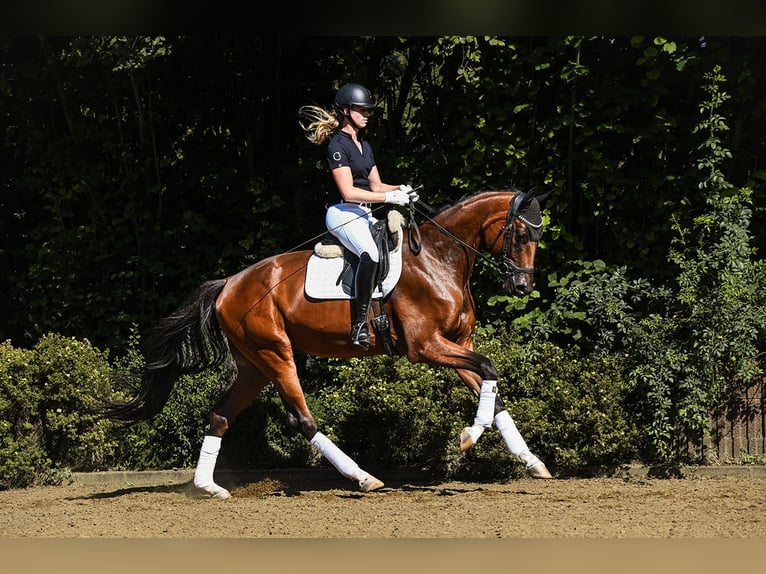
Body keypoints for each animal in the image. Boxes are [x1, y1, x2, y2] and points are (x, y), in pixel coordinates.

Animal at [105, 189, 556, 500]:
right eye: (519, 234)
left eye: (538, 236)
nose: (521, 287)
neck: (440, 259)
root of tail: (229, 283)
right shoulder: (426, 346)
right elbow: (489, 371)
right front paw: (468, 437)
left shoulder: (457, 343)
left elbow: (491, 389)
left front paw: (532, 462)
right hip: (276, 354)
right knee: (303, 419)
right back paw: (363, 477)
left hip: (253, 365)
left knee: (220, 415)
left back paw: (207, 488)